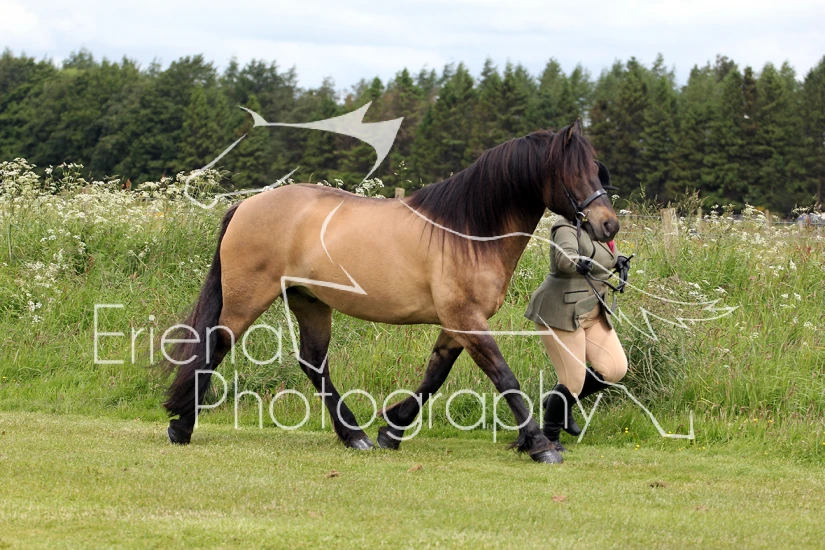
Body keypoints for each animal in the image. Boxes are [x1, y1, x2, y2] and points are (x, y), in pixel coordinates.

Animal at [163, 119, 619, 464]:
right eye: (573, 173)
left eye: (598, 170)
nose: (608, 225)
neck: (469, 232)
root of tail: (246, 205)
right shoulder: (466, 319)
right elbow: (503, 376)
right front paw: (540, 445)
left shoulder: (458, 323)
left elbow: (434, 376)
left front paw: (392, 428)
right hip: (248, 298)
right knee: (217, 344)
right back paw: (182, 425)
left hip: (310, 302)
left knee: (313, 363)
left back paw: (355, 435)